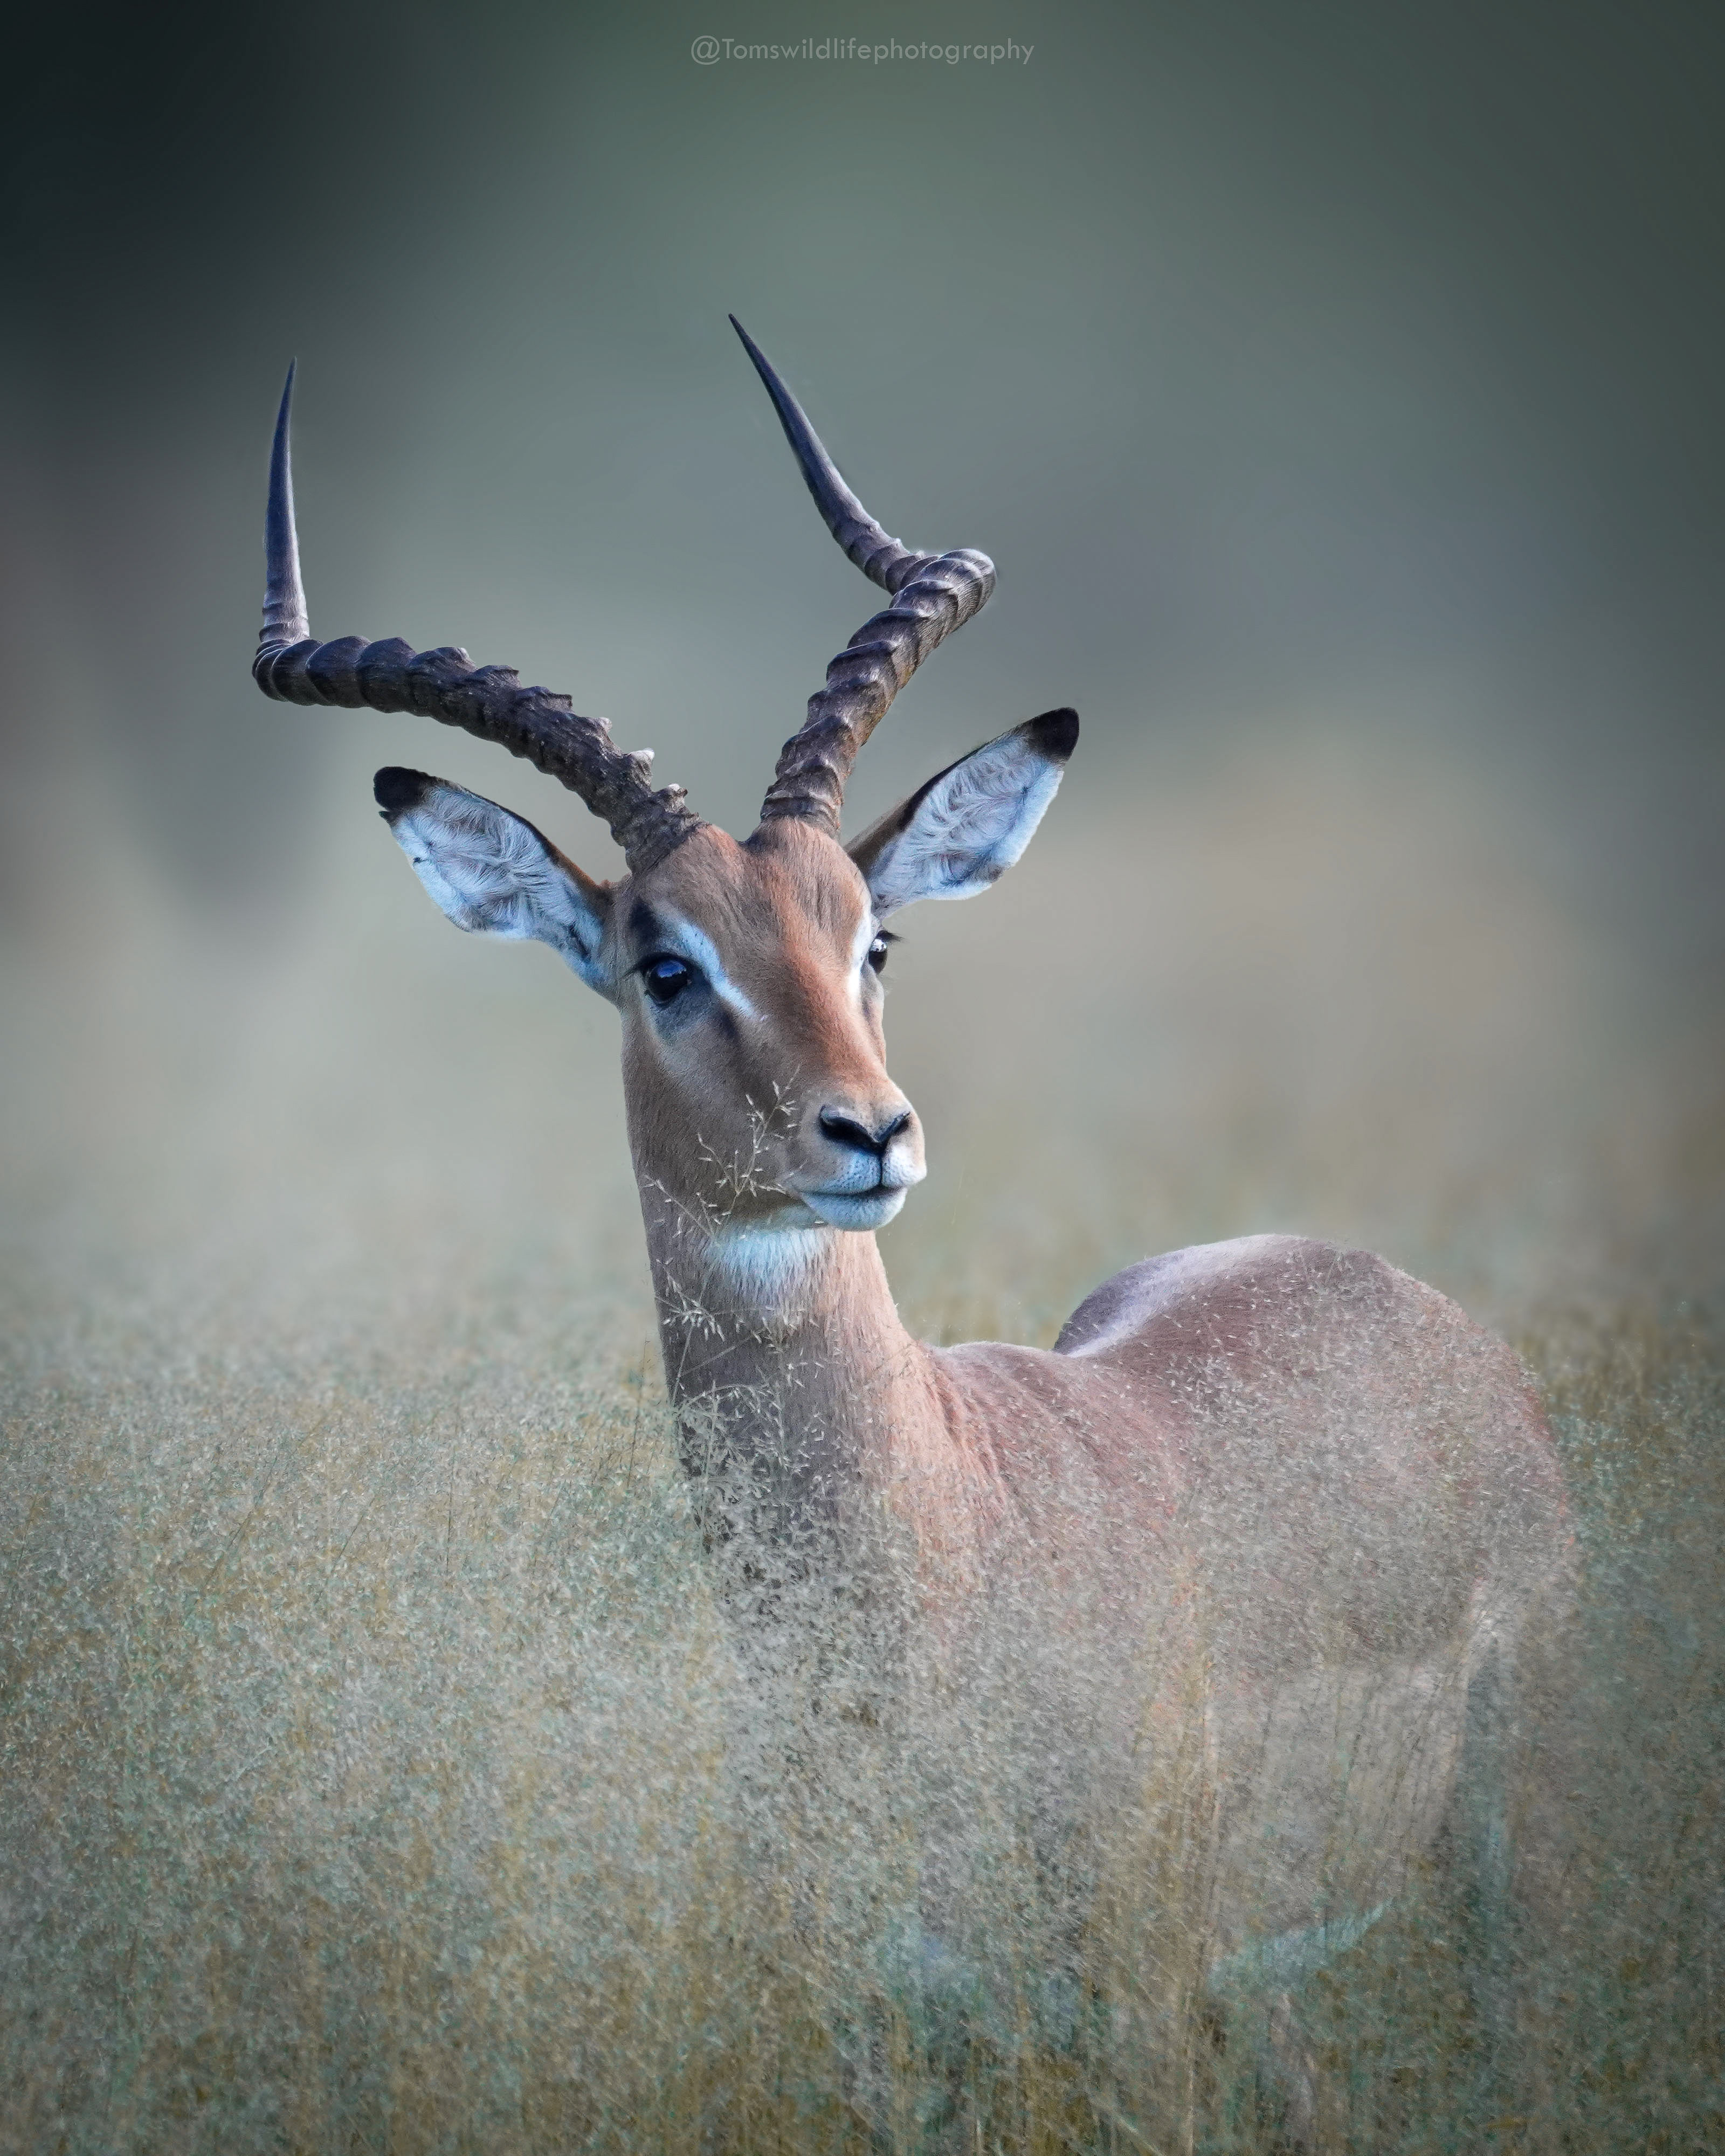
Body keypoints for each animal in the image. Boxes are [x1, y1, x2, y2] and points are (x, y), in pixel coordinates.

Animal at [251, 322, 1568, 2062]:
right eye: (665, 963)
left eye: (871, 934)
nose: (868, 1132)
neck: (939, 1551)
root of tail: (1413, 1305)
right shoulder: (878, 2021)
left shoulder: (1141, 2004)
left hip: (1497, 1866)